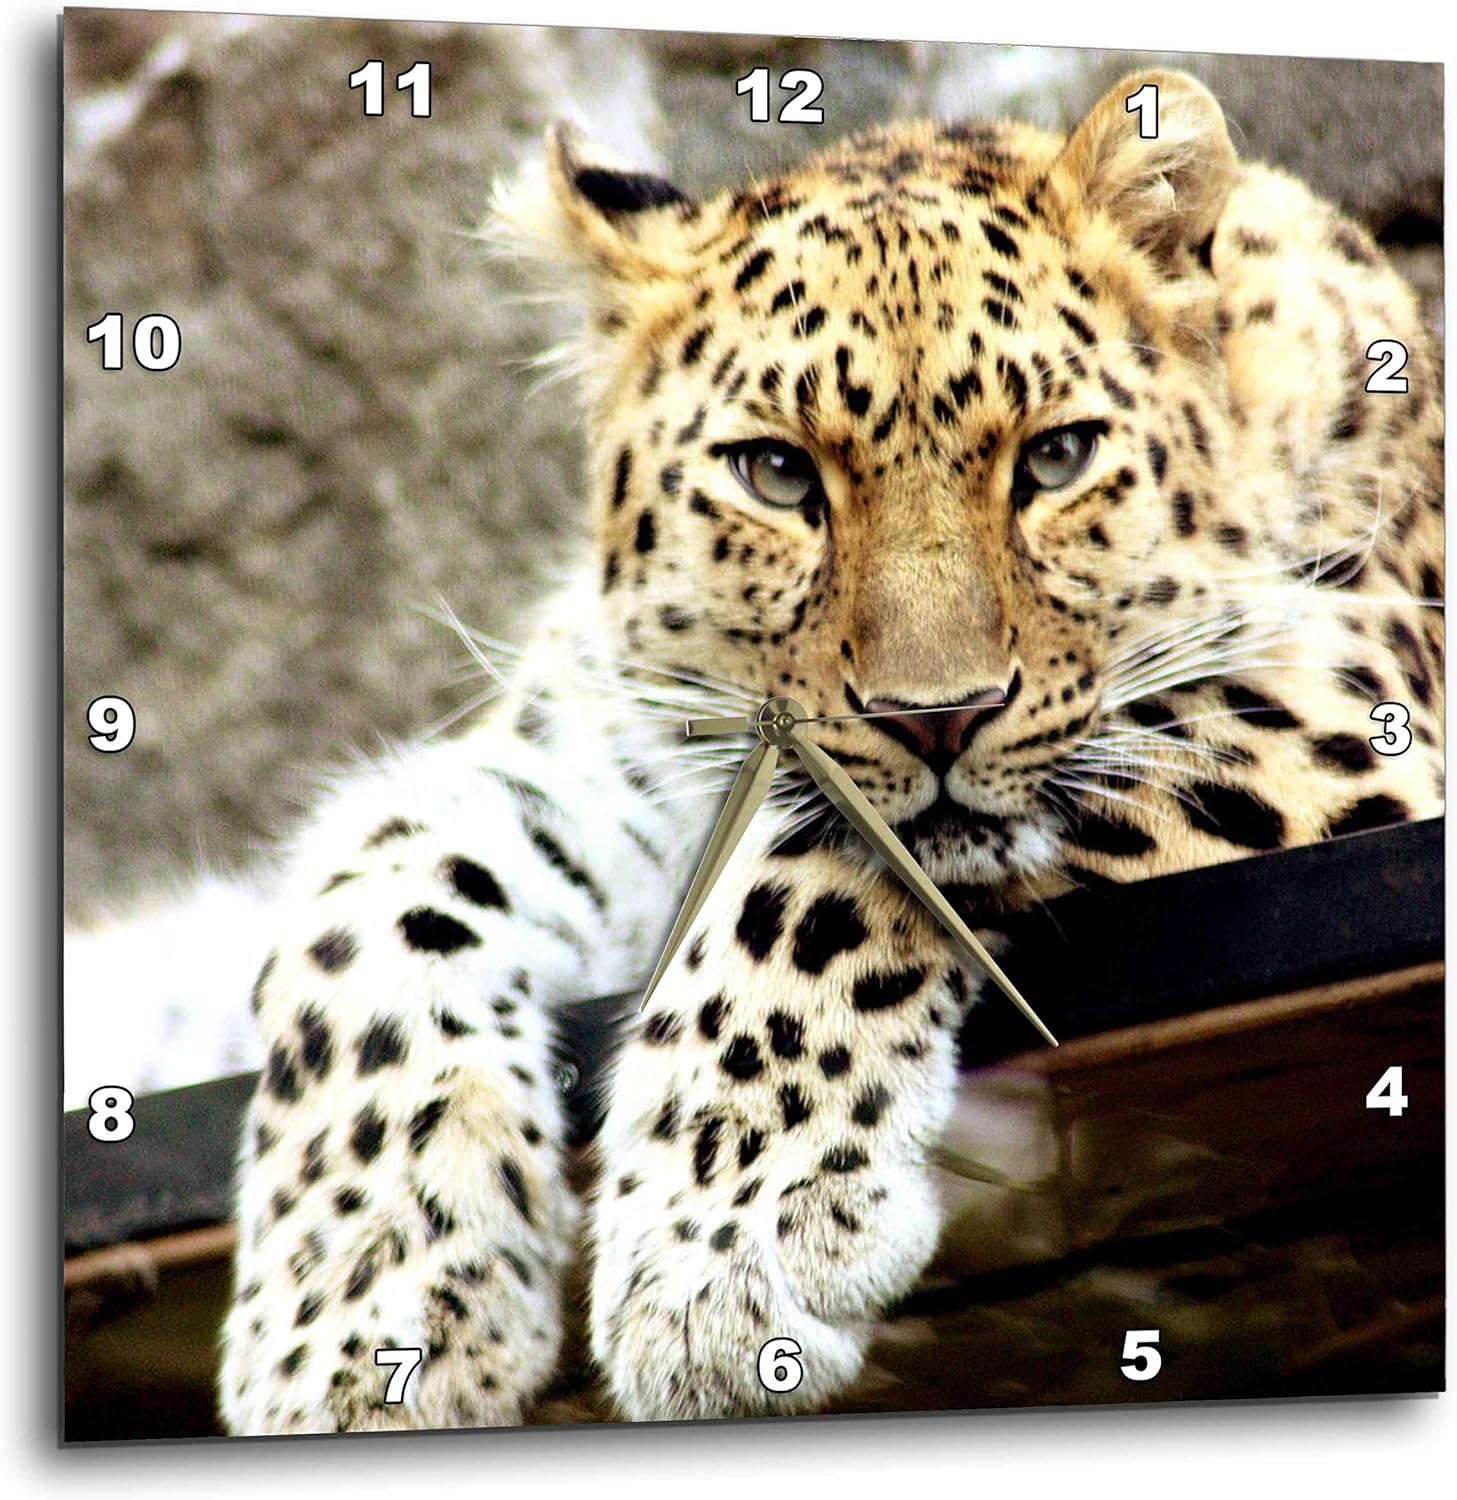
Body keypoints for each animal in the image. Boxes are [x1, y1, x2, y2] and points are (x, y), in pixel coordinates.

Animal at [217, 69, 1443, 1432]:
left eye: (1055, 457)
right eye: (774, 474)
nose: (935, 716)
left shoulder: (1337, 705)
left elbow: (810, 883)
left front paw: (718, 1255)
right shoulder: (592, 765)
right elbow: (371, 898)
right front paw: (350, 1315)